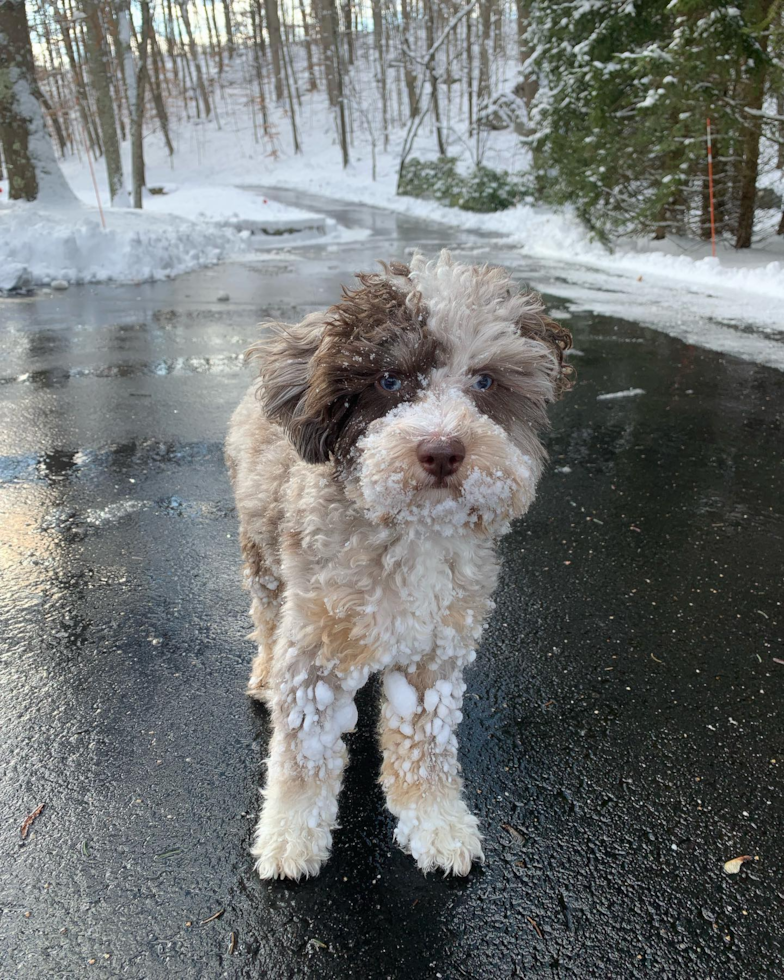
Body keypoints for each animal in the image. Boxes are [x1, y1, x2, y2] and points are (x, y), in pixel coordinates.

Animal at [224, 253, 572, 880]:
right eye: (389, 380)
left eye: (485, 381)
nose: (442, 449)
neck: (410, 533)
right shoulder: (314, 648)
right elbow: (304, 755)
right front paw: (291, 835)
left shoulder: (436, 656)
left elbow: (425, 747)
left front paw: (435, 823)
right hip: (264, 561)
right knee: (265, 618)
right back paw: (262, 673)